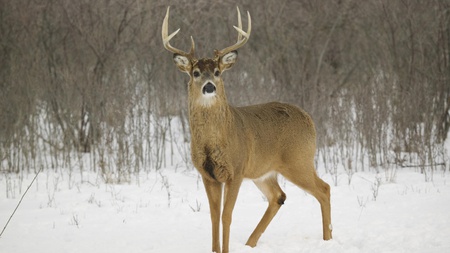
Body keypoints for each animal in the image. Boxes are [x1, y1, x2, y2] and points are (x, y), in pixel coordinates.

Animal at [163, 5, 332, 253]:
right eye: (195, 73)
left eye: (217, 72)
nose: (209, 87)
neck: (214, 141)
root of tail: (309, 119)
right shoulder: (208, 175)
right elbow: (213, 216)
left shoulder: (236, 170)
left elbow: (226, 216)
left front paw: (225, 250)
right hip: (264, 171)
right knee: (278, 196)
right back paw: (250, 243)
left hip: (298, 160)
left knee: (324, 189)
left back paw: (328, 239)